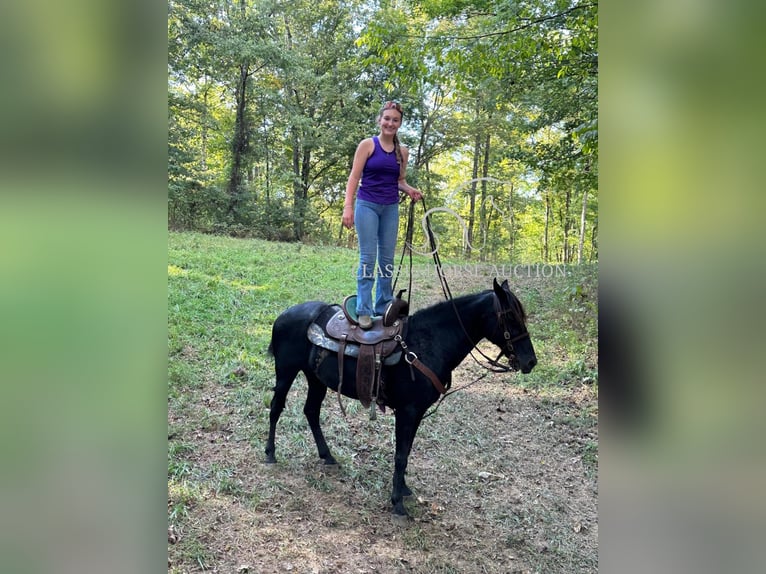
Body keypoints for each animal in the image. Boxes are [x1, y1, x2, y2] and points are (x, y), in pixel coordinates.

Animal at [268, 280, 536, 516]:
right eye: (509, 316)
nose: (530, 361)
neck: (428, 342)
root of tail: (285, 314)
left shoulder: (416, 413)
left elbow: (406, 452)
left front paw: (404, 490)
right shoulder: (408, 411)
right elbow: (400, 455)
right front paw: (397, 503)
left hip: (316, 379)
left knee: (311, 411)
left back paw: (327, 455)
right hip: (286, 372)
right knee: (276, 407)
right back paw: (270, 453)